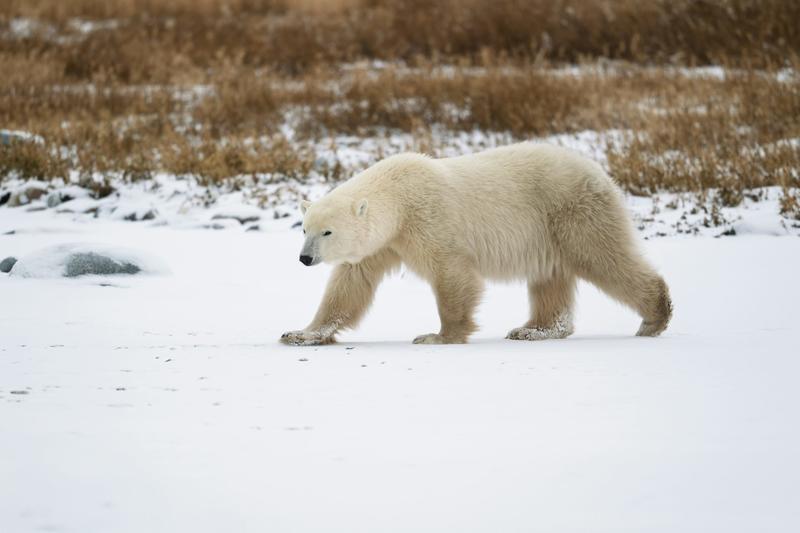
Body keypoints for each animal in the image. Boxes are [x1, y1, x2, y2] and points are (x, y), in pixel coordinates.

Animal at [281, 142, 672, 345]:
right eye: (304, 229)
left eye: (327, 232)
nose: (304, 258)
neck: (399, 198)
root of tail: (601, 173)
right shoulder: (384, 243)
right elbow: (349, 286)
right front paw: (300, 333)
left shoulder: (429, 221)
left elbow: (452, 275)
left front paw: (438, 336)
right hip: (551, 231)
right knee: (550, 279)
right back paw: (532, 329)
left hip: (572, 213)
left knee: (605, 259)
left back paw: (654, 317)